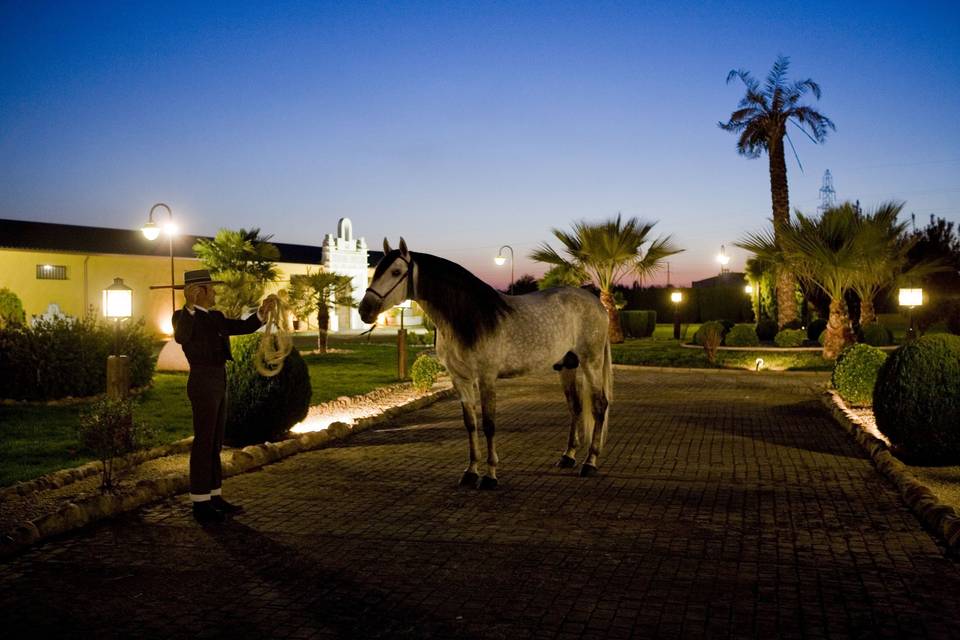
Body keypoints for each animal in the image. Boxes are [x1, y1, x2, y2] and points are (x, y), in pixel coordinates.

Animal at [356, 238, 612, 488]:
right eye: (376, 271)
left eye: (396, 271)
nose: (365, 310)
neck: (470, 317)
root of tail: (596, 303)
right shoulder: (460, 379)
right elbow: (470, 423)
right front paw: (470, 472)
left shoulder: (486, 378)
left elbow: (489, 424)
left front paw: (490, 476)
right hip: (567, 366)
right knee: (575, 407)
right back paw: (568, 456)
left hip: (591, 362)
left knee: (599, 405)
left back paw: (590, 462)